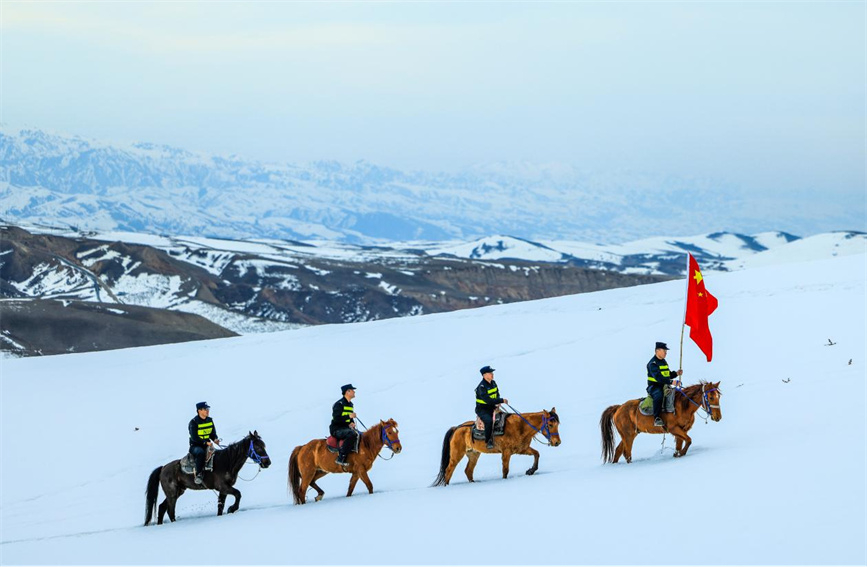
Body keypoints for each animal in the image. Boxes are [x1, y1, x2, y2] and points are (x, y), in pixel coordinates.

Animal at [434, 408, 564, 488]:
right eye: (550, 424)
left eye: (557, 424)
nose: (557, 442)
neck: (520, 426)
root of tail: (456, 428)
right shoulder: (506, 452)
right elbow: (505, 470)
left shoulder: (522, 449)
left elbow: (537, 454)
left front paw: (530, 471)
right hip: (456, 455)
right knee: (449, 470)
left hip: (473, 454)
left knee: (468, 470)